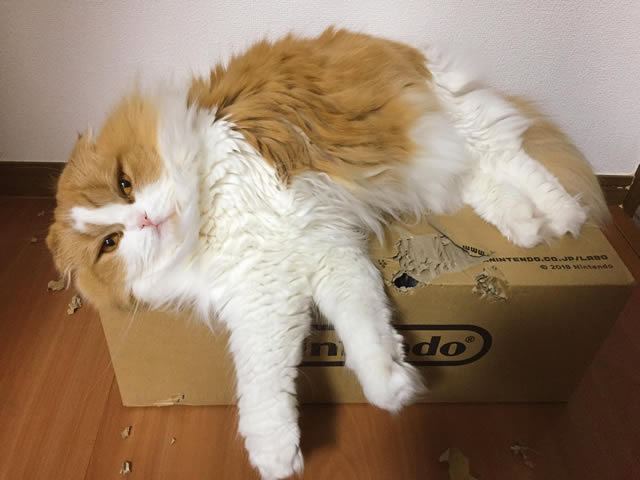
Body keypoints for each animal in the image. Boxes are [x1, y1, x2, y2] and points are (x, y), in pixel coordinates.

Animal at [47, 28, 607, 480]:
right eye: (110, 243)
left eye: (124, 184)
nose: (145, 220)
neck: (208, 216)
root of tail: (402, 45)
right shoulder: (270, 286)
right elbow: (265, 376)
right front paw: (277, 451)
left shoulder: (313, 241)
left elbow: (359, 329)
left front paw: (390, 389)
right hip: (439, 168)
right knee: (485, 182)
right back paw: (526, 225)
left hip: (451, 127)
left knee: (516, 160)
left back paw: (563, 217)